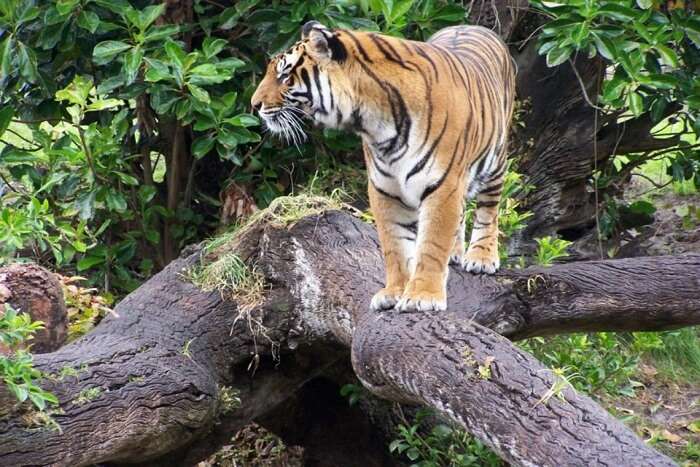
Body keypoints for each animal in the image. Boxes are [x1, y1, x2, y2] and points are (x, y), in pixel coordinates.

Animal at [250, 22, 516, 314]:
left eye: (285, 75)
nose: (254, 105)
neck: (377, 123)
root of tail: (468, 24)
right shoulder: (385, 189)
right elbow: (395, 246)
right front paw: (394, 292)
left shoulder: (443, 184)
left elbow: (432, 242)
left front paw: (422, 296)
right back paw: (455, 253)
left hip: (496, 160)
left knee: (488, 209)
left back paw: (481, 257)